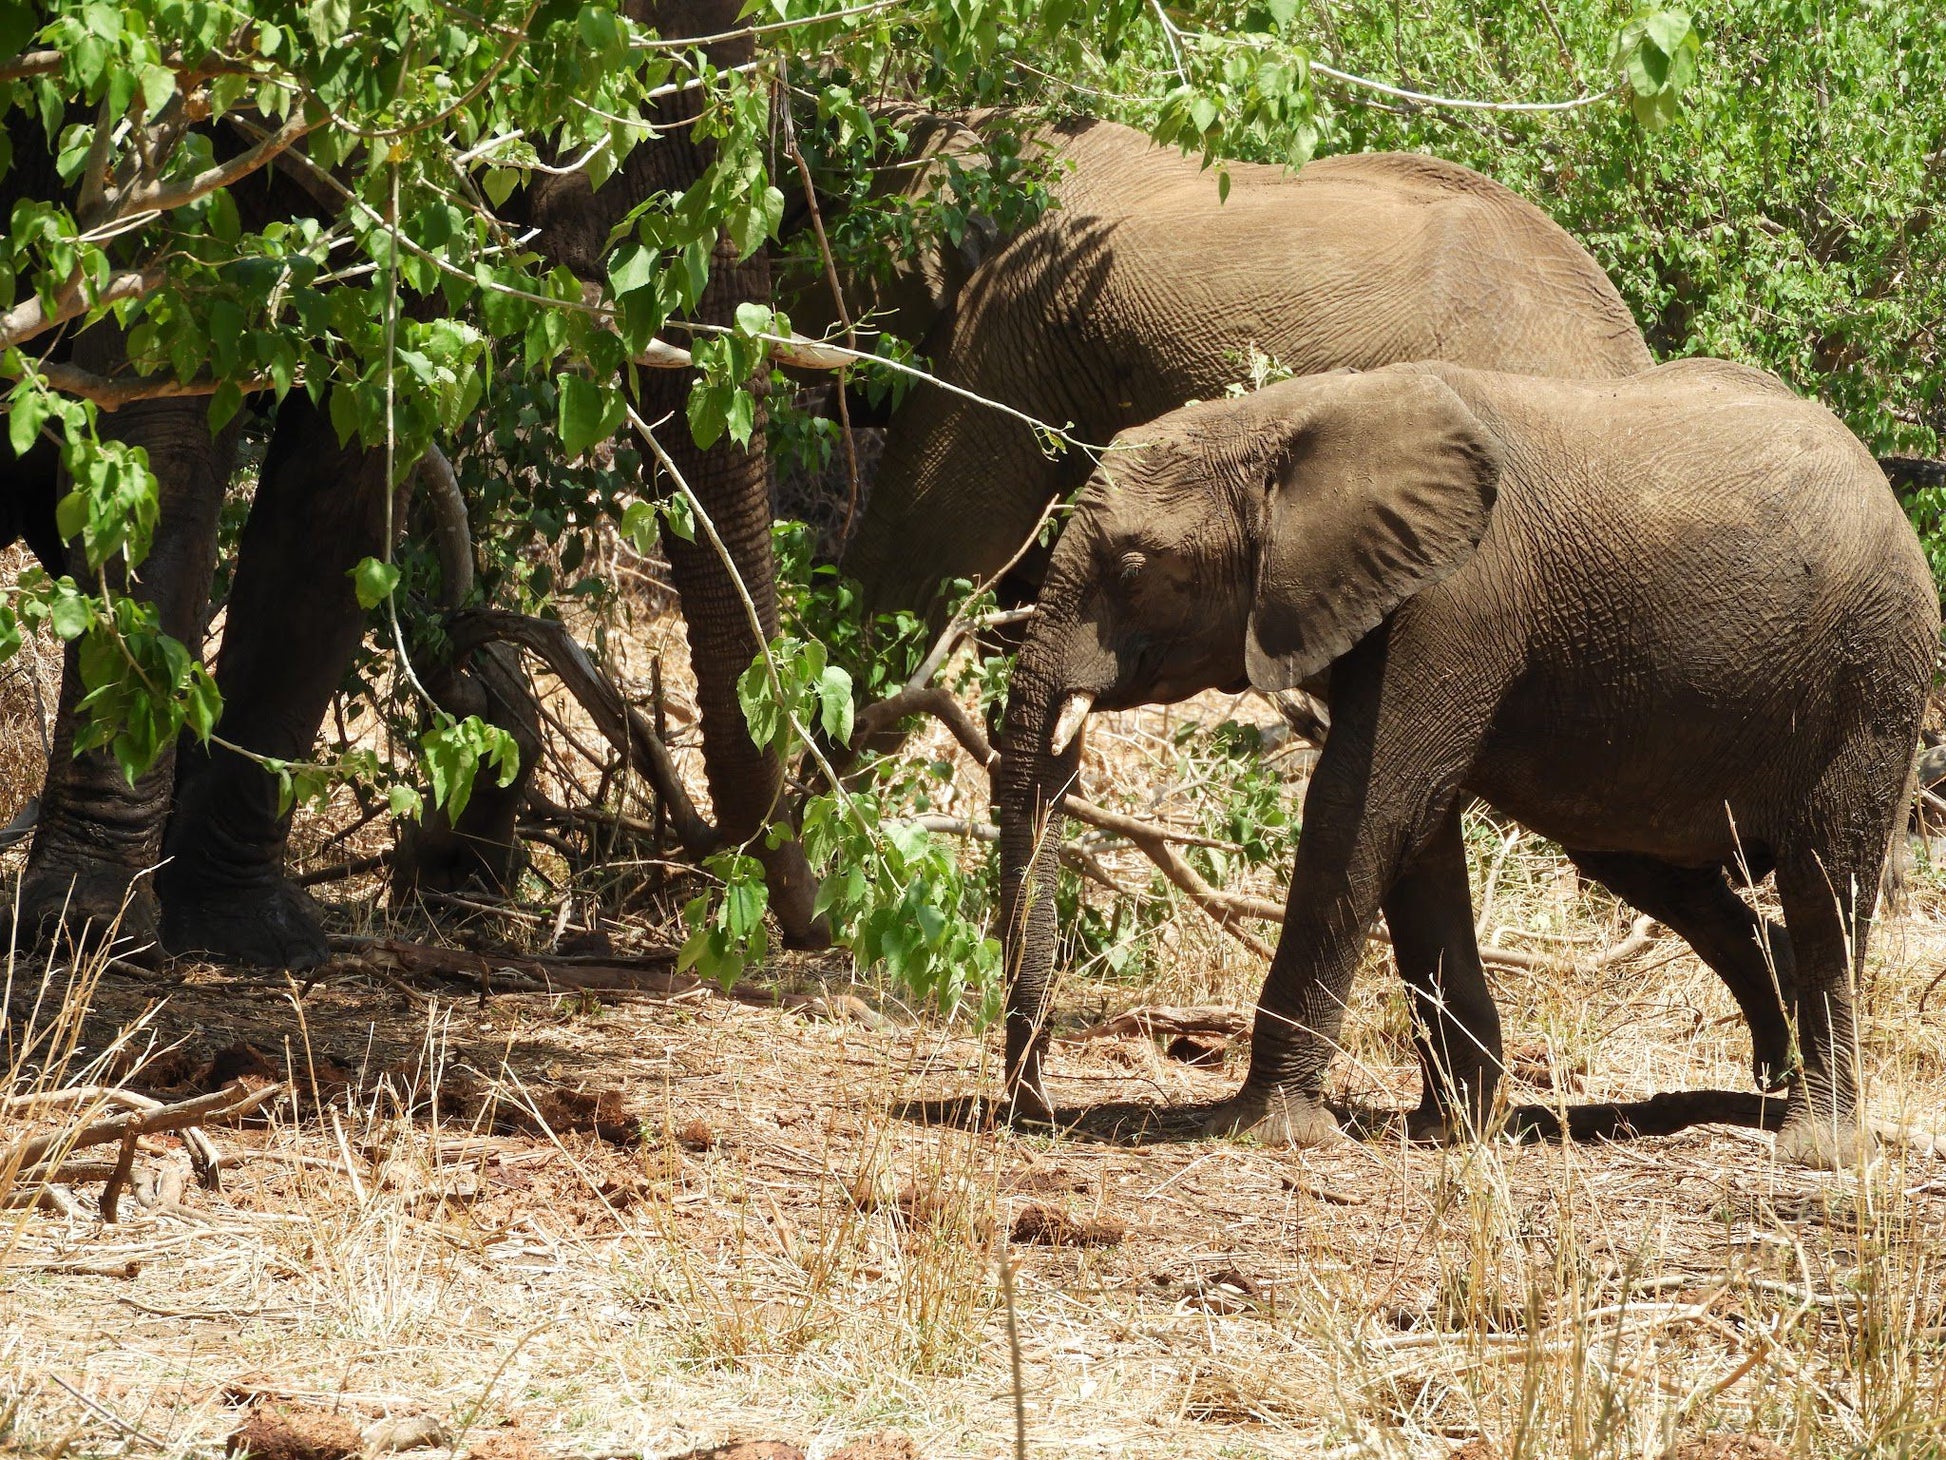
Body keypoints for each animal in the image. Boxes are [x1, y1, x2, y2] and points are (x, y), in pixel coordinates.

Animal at [996, 360, 1938, 1175]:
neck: (1289, 417)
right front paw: (1453, 1128)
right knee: (1652, 870)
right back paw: (1770, 1087)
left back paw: (1815, 1145)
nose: (1030, 1110)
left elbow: (1362, 808)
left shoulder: (1456, 599)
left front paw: (1267, 1133)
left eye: (1132, 569)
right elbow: (1415, 835)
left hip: (1870, 673)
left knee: (1828, 879)